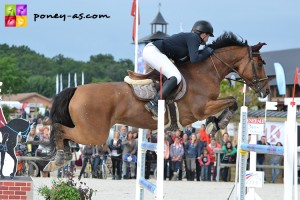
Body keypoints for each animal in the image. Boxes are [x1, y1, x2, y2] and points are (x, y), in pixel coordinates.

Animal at [44, 31, 270, 170]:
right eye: (260, 63)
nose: (266, 90)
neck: (206, 72)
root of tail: (76, 89)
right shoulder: (201, 108)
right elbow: (231, 101)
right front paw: (217, 124)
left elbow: (230, 101)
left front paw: (214, 123)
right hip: (94, 133)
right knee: (60, 129)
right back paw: (58, 159)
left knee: (63, 132)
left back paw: (59, 158)